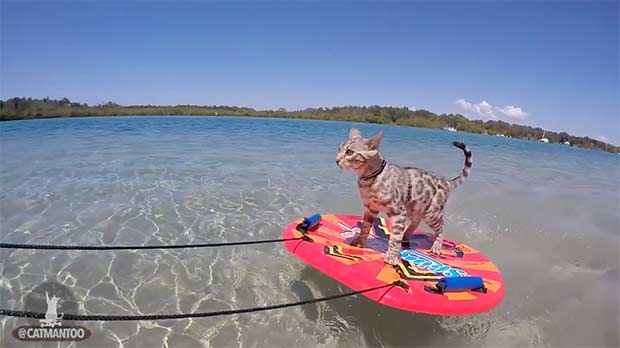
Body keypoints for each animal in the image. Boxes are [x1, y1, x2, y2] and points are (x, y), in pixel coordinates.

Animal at [336, 129, 472, 266]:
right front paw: (359, 242)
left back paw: (436, 246)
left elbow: (395, 238)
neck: (369, 179)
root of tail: (445, 181)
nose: (336, 160)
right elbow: (365, 228)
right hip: (414, 207)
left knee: (441, 228)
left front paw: (392, 256)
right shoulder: (371, 209)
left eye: (349, 152)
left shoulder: (398, 212)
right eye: (339, 149)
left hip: (431, 213)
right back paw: (406, 237)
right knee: (416, 221)